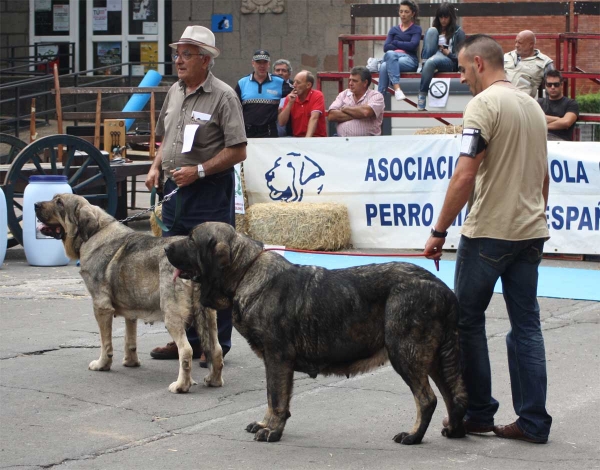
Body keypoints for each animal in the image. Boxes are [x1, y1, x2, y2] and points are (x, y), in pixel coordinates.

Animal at [34, 194, 224, 392]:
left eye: (59, 203)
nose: (35, 205)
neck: (95, 232)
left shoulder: (101, 307)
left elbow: (105, 342)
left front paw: (102, 364)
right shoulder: (131, 309)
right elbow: (129, 338)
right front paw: (131, 362)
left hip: (172, 315)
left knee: (186, 350)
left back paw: (181, 386)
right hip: (209, 316)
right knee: (217, 349)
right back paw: (214, 380)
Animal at [165, 222, 468, 442]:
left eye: (191, 239)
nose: (166, 246)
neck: (246, 273)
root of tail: (443, 289)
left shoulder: (278, 357)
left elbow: (276, 397)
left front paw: (272, 430)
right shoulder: (275, 361)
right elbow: (273, 396)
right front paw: (266, 423)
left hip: (406, 353)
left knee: (427, 399)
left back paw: (414, 435)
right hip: (434, 358)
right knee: (453, 395)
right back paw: (454, 430)